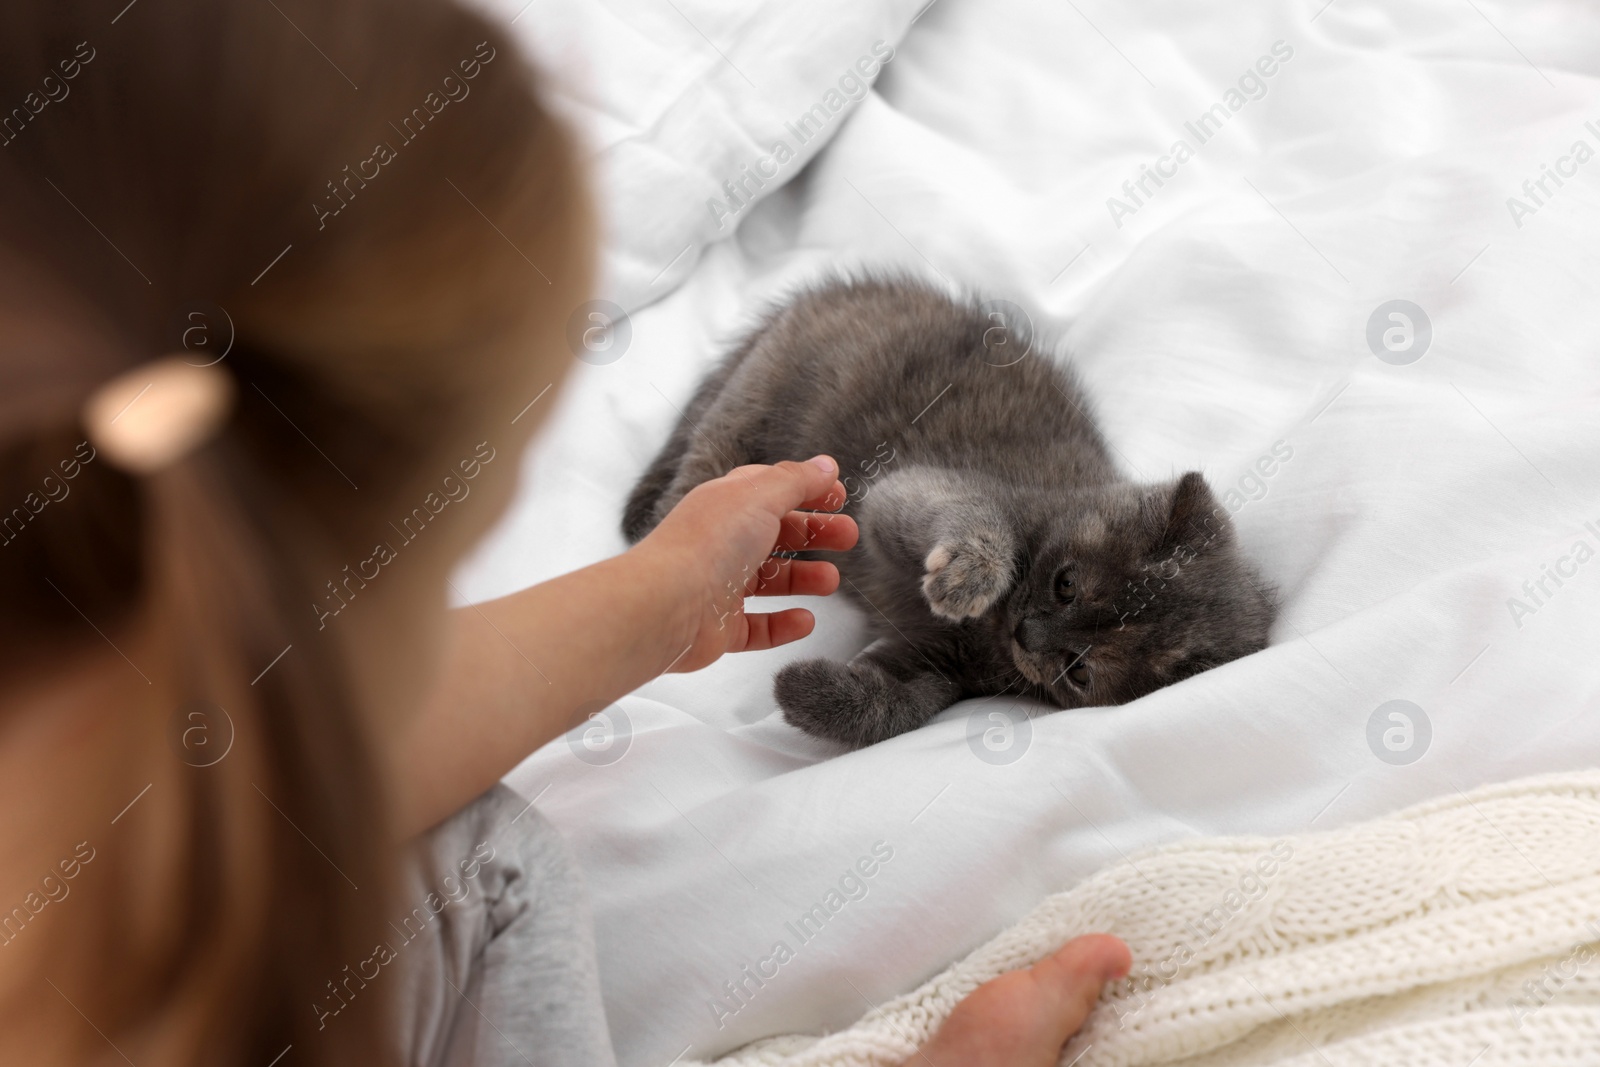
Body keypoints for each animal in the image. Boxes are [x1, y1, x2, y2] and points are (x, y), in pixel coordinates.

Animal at [620, 275, 1273, 748]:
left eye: (1080, 671)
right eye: (1065, 584)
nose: (1027, 631)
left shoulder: (937, 665)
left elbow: (895, 707)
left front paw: (802, 689)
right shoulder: (912, 491)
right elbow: (968, 515)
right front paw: (970, 575)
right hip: (757, 396)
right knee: (705, 462)